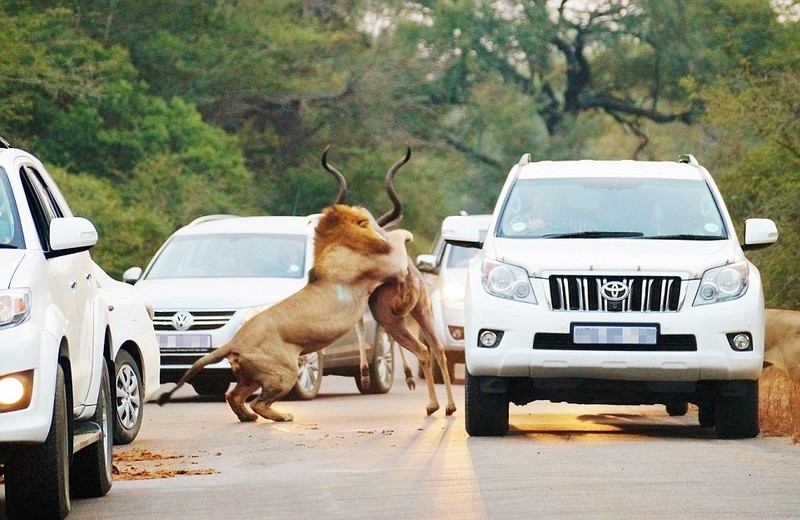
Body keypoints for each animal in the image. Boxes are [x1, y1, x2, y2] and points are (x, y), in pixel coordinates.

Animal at [156, 203, 412, 422]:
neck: (333, 244)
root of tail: (236, 341)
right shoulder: (389, 264)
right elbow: (398, 242)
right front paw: (405, 234)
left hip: (252, 375)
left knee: (234, 396)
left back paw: (248, 418)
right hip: (285, 371)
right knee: (257, 402)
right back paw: (282, 416)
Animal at [320, 146, 456, 414]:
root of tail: (408, 278)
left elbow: (361, 326)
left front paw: (364, 376)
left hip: (391, 316)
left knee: (422, 349)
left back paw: (432, 405)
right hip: (421, 311)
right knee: (438, 348)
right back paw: (450, 407)